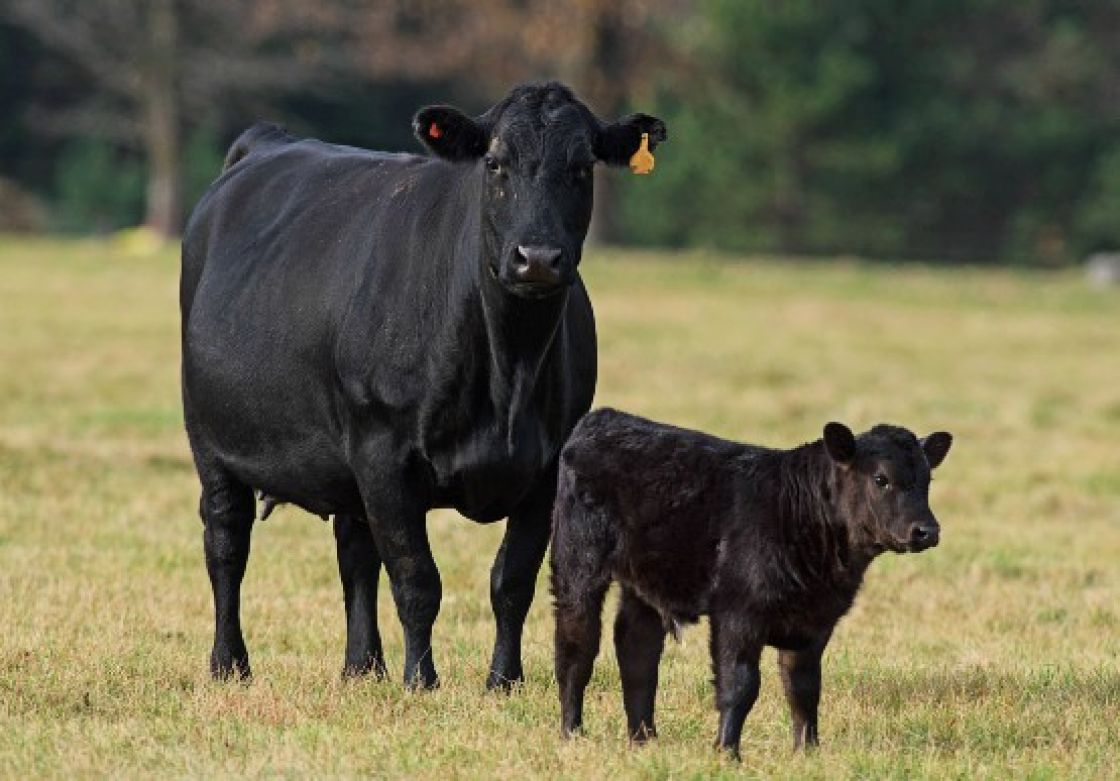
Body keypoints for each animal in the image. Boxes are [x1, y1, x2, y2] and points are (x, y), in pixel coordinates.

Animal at [180, 83, 667, 690]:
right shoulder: (384, 454)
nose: (537, 259)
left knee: (355, 552)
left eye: (582, 167)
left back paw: (363, 667)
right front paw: (421, 680)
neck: (507, 376)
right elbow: (417, 579)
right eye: (495, 162)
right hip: (211, 440)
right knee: (227, 542)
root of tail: (266, 140)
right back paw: (230, 664)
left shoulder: (547, 467)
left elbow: (512, 581)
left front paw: (503, 682)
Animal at [550, 409, 952, 758]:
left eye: (927, 480)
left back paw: (644, 740)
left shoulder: (815, 622)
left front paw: (807, 752)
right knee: (576, 647)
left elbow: (804, 687)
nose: (927, 531)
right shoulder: (738, 612)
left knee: (637, 650)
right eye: (881, 479)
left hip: (645, 582)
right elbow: (741, 685)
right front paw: (727, 752)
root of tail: (603, 418)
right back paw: (572, 733)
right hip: (577, 562)